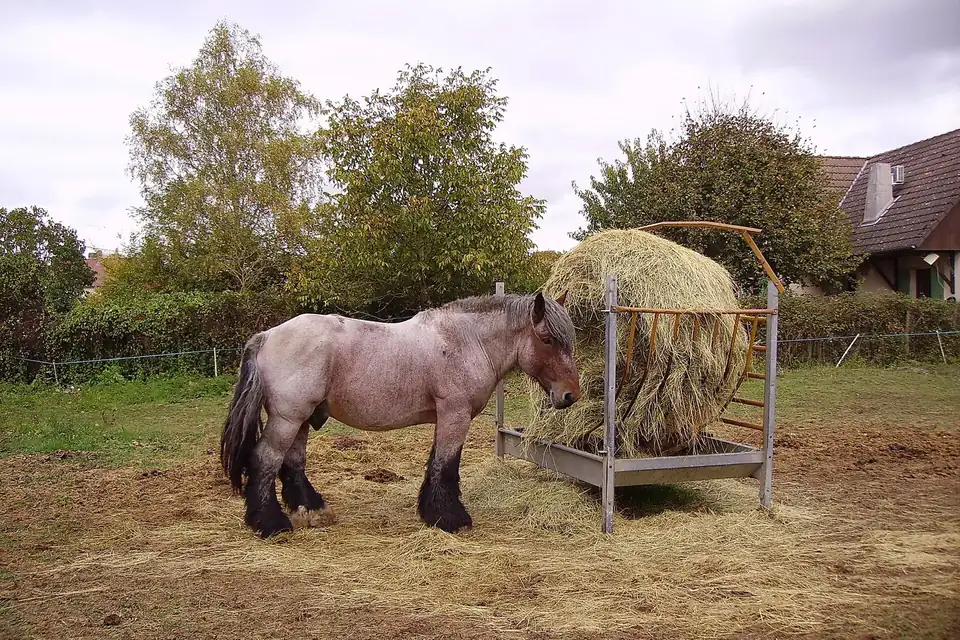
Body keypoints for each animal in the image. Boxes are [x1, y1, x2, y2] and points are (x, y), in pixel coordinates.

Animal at [219, 290, 581, 538]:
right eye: (547, 339)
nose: (570, 395)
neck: (467, 341)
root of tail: (266, 336)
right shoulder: (455, 415)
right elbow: (445, 466)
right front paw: (451, 518)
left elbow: (436, 465)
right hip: (288, 419)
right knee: (265, 460)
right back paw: (270, 523)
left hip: (301, 420)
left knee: (292, 463)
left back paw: (311, 511)